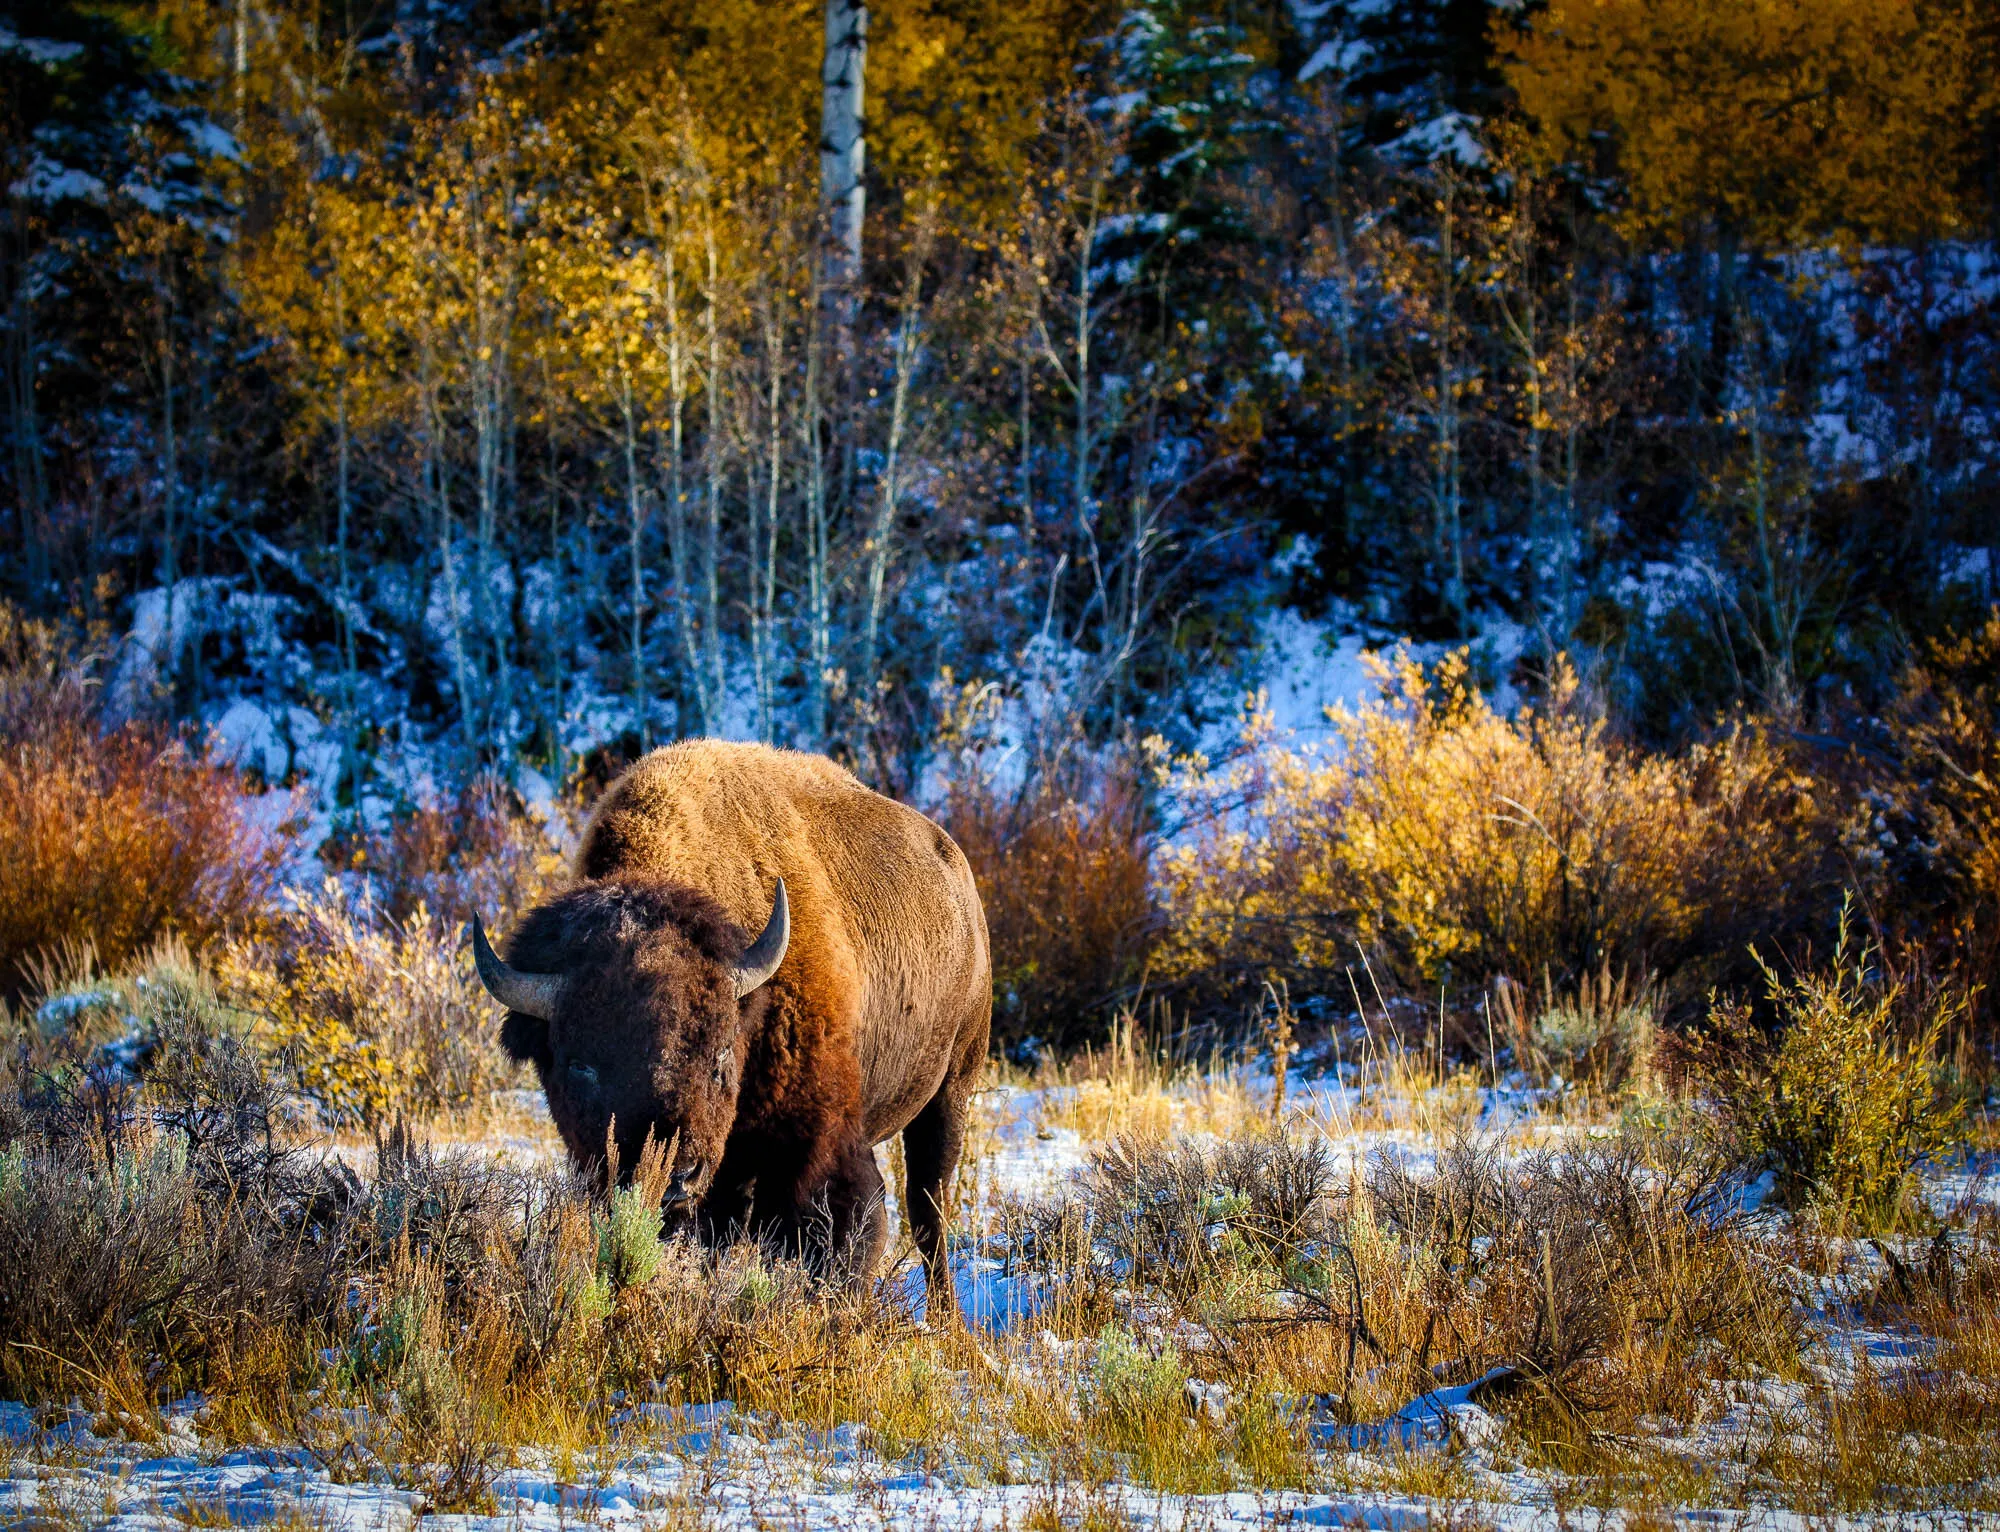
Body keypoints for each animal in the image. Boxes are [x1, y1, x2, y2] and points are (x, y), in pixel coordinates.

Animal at [470, 740, 992, 1313]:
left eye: (721, 1057)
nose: (671, 1179)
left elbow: (850, 1227)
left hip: (953, 1086)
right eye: (579, 1066)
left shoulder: (818, 1143)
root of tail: (957, 869)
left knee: (928, 1208)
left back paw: (948, 1321)